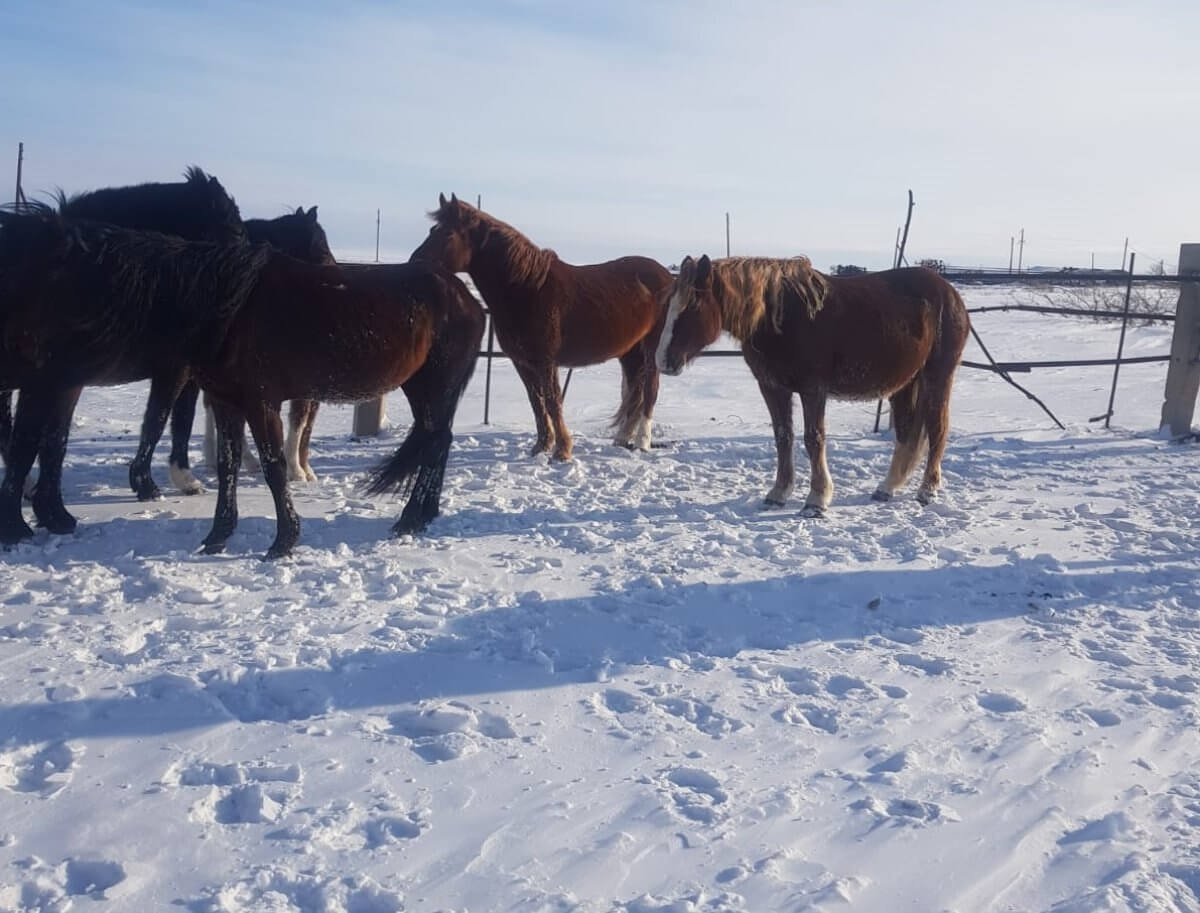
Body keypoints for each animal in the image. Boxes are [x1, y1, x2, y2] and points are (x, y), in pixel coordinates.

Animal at [410, 195, 676, 458]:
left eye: (448, 234)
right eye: (432, 229)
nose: (415, 264)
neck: (527, 288)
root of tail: (666, 276)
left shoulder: (546, 361)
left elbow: (552, 400)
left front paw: (562, 450)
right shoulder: (523, 362)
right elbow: (536, 402)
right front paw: (542, 445)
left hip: (651, 348)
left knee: (650, 391)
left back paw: (642, 442)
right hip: (630, 353)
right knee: (636, 393)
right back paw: (622, 438)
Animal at [652, 254, 969, 513]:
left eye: (693, 304)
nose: (663, 361)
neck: (779, 317)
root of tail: (950, 293)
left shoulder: (812, 390)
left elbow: (813, 439)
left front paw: (816, 500)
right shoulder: (772, 387)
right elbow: (783, 437)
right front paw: (778, 494)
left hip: (938, 376)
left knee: (937, 428)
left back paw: (928, 490)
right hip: (905, 383)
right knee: (907, 432)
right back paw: (886, 488)